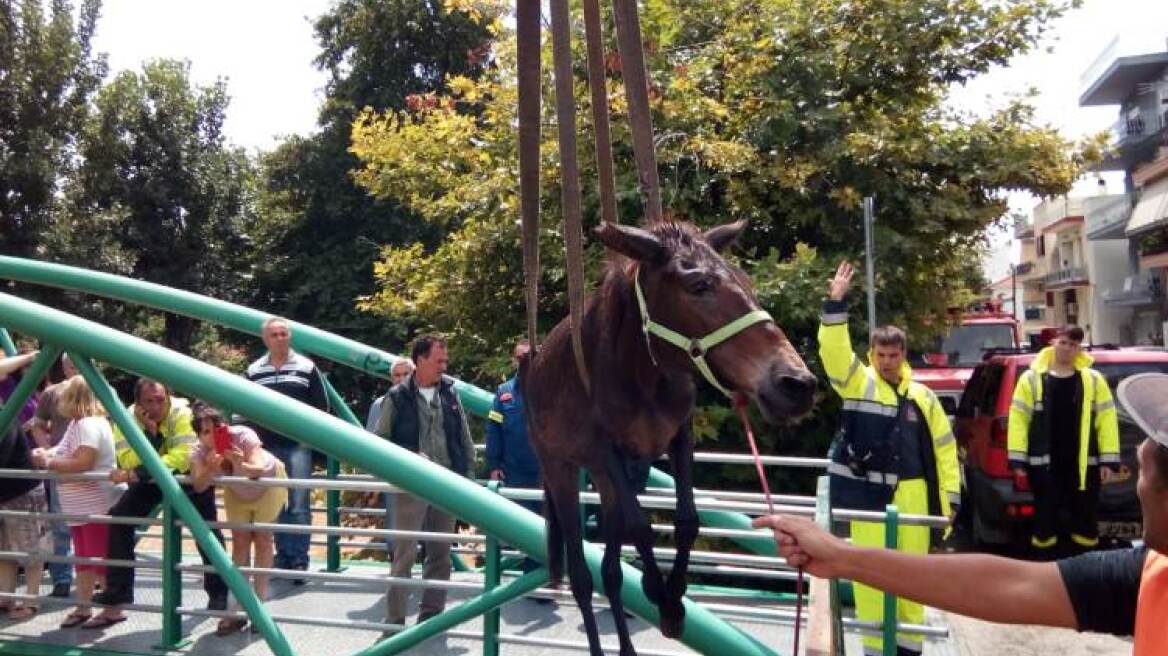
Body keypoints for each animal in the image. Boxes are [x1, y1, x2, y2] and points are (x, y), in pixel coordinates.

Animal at [525, 219, 817, 653]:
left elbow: (687, 521)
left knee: (610, 573)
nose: (797, 384)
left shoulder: (677, 438)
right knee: (581, 578)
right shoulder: (604, 450)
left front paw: (674, 599)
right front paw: (661, 596)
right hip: (560, 470)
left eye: (746, 282)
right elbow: (640, 526)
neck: (642, 375)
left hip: (607, 482)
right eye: (698, 286)